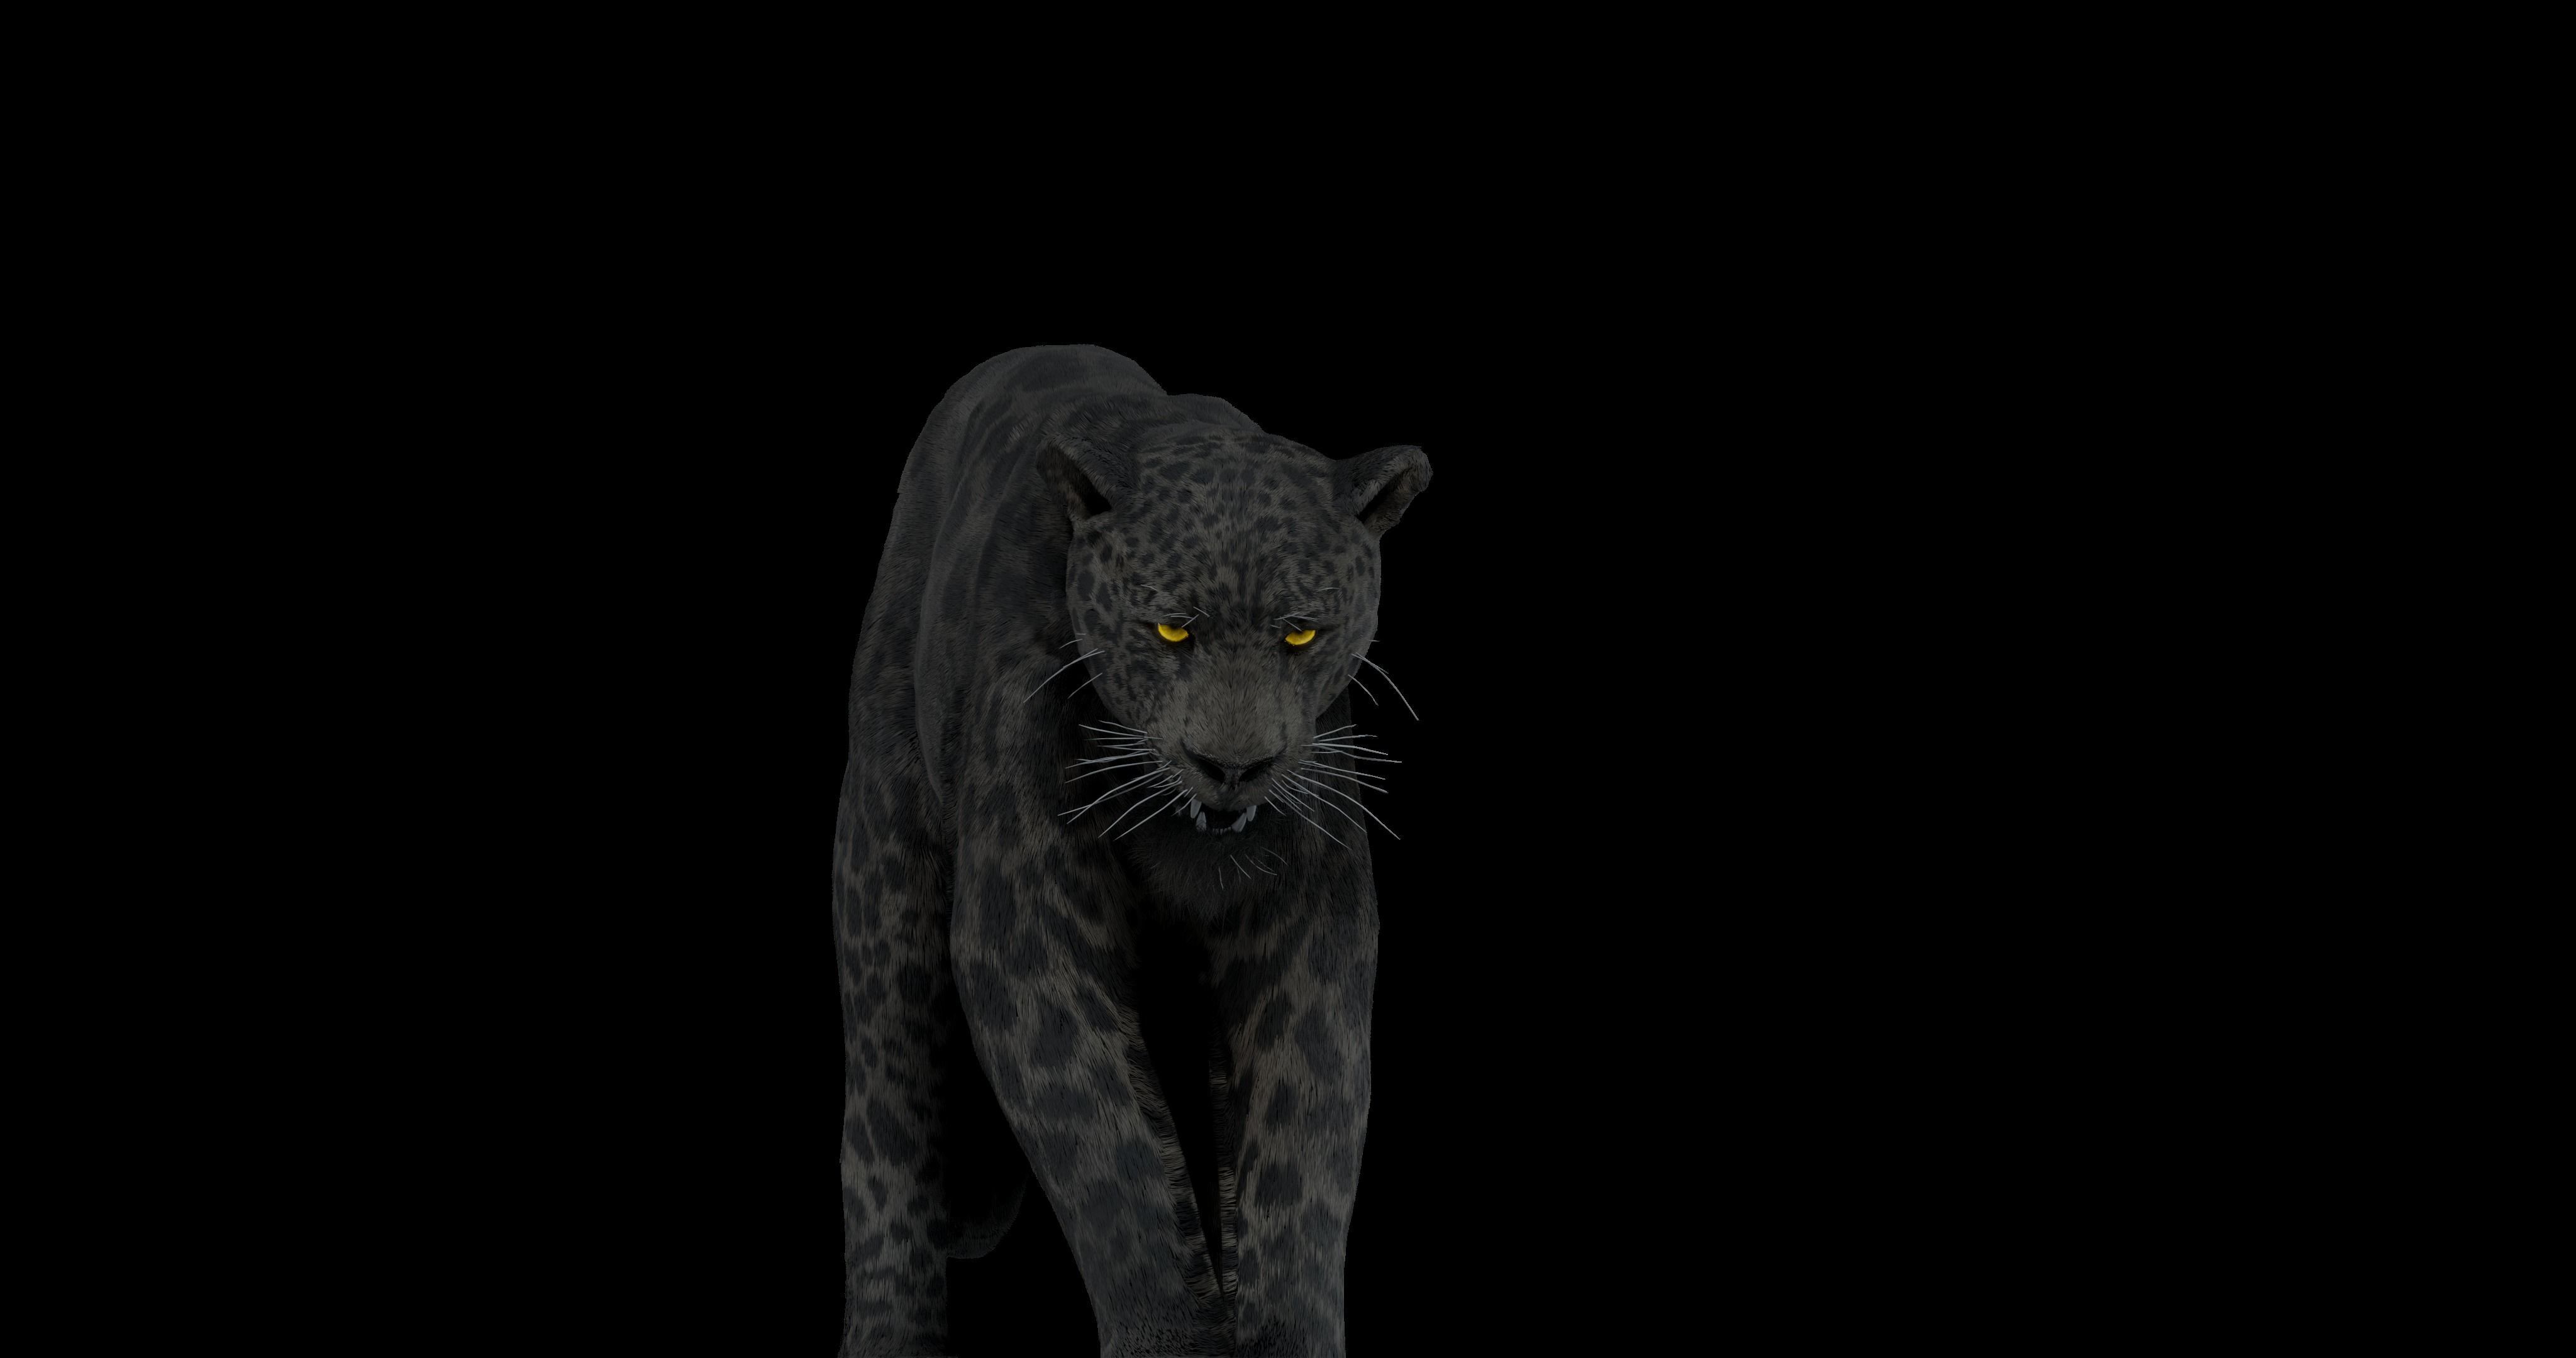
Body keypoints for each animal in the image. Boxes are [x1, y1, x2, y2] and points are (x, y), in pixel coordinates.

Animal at [835, 344, 1432, 1356]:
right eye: (1170, 628)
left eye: (1300, 632)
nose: (1232, 765)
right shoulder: (1031, 929)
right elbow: (1106, 1145)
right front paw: (1170, 1339)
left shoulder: (1304, 920)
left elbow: (1304, 1144)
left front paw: (1285, 1335)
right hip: (885, 883)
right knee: (887, 1130)